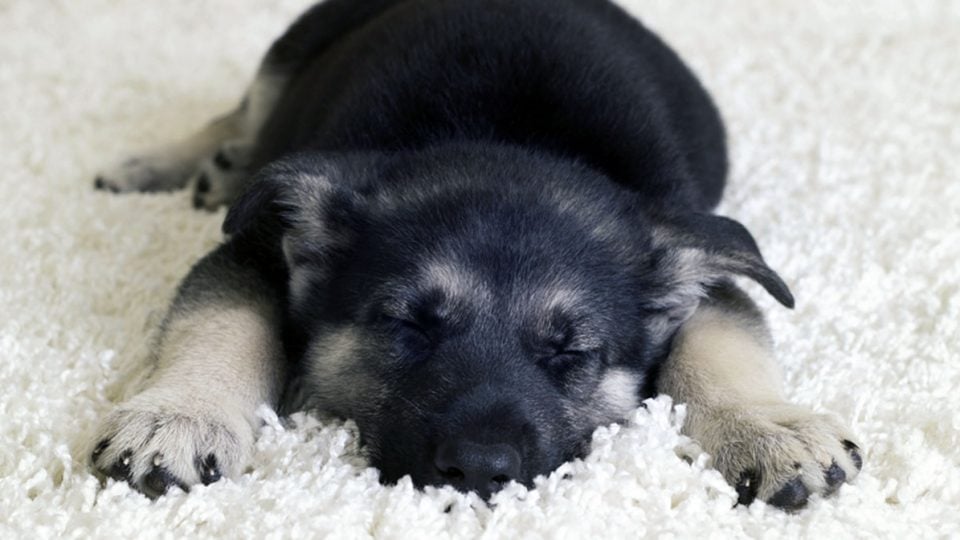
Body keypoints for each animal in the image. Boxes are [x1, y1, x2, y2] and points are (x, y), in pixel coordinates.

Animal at [92, 0, 864, 510]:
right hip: (288, 56)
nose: (478, 471)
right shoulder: (253, 249)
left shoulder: (697, 267)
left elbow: (723, 339)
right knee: (238, 112)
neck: (506, 137)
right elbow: (219, 323)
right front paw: (181, 415)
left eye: (572, 353)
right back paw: (173, 165)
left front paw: (766, 428)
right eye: (406, 326)